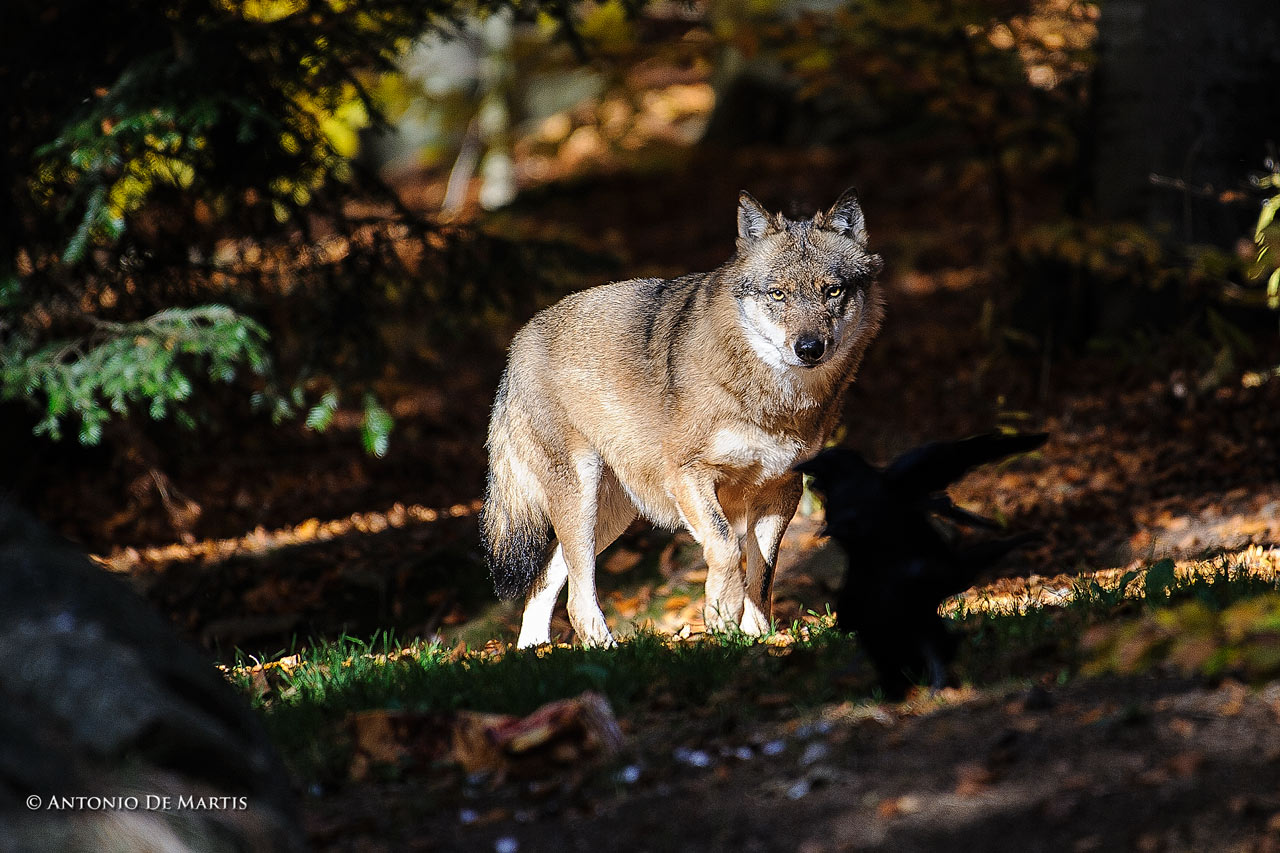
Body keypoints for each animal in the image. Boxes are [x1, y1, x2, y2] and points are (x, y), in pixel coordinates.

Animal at [480, 189, 884, 647]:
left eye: (832, 291)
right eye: (778, 294)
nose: (810, 347)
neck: (774, 400)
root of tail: (519, 341)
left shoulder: (782, 488)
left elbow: (763, 573)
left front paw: (762, 640)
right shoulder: (689, 475)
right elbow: (726, 549)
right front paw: (721, 619)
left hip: (609, 517)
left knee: (544, 579)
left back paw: (537, 653)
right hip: (582, 501)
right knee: (577, 601)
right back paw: (608, 650)